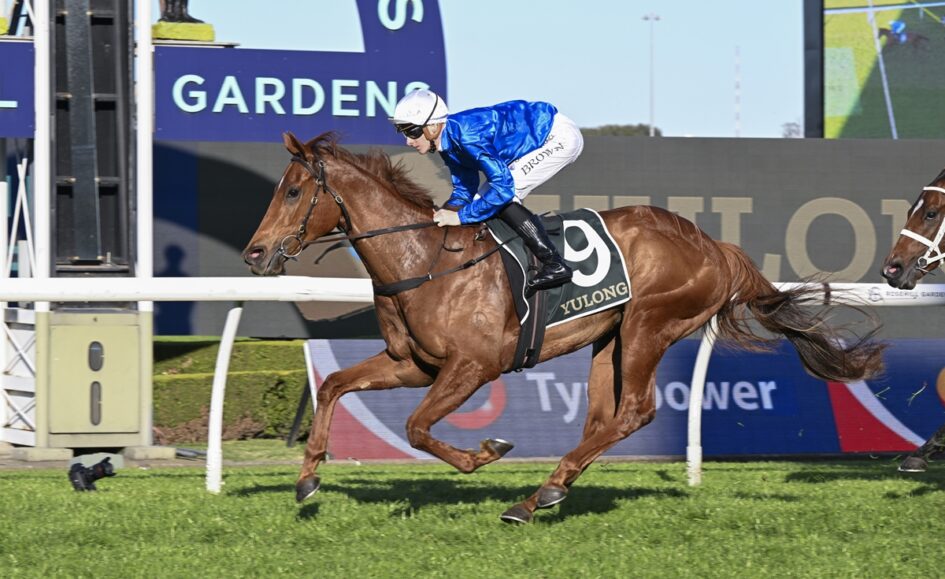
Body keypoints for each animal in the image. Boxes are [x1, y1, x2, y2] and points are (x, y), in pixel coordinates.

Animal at [243, 132, 886, 523]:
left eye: (293, 191)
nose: (255, 255)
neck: (424, 261)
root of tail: (715, 247)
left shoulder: (475, 366)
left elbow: (418, 428)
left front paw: (486, 452)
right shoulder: (414, 364)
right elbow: (334, 386)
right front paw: (307, 480)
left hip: (650, 323)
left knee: (635, 412)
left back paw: (535, 497)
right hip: (610, 336)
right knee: (603, 418)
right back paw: (547, 491)